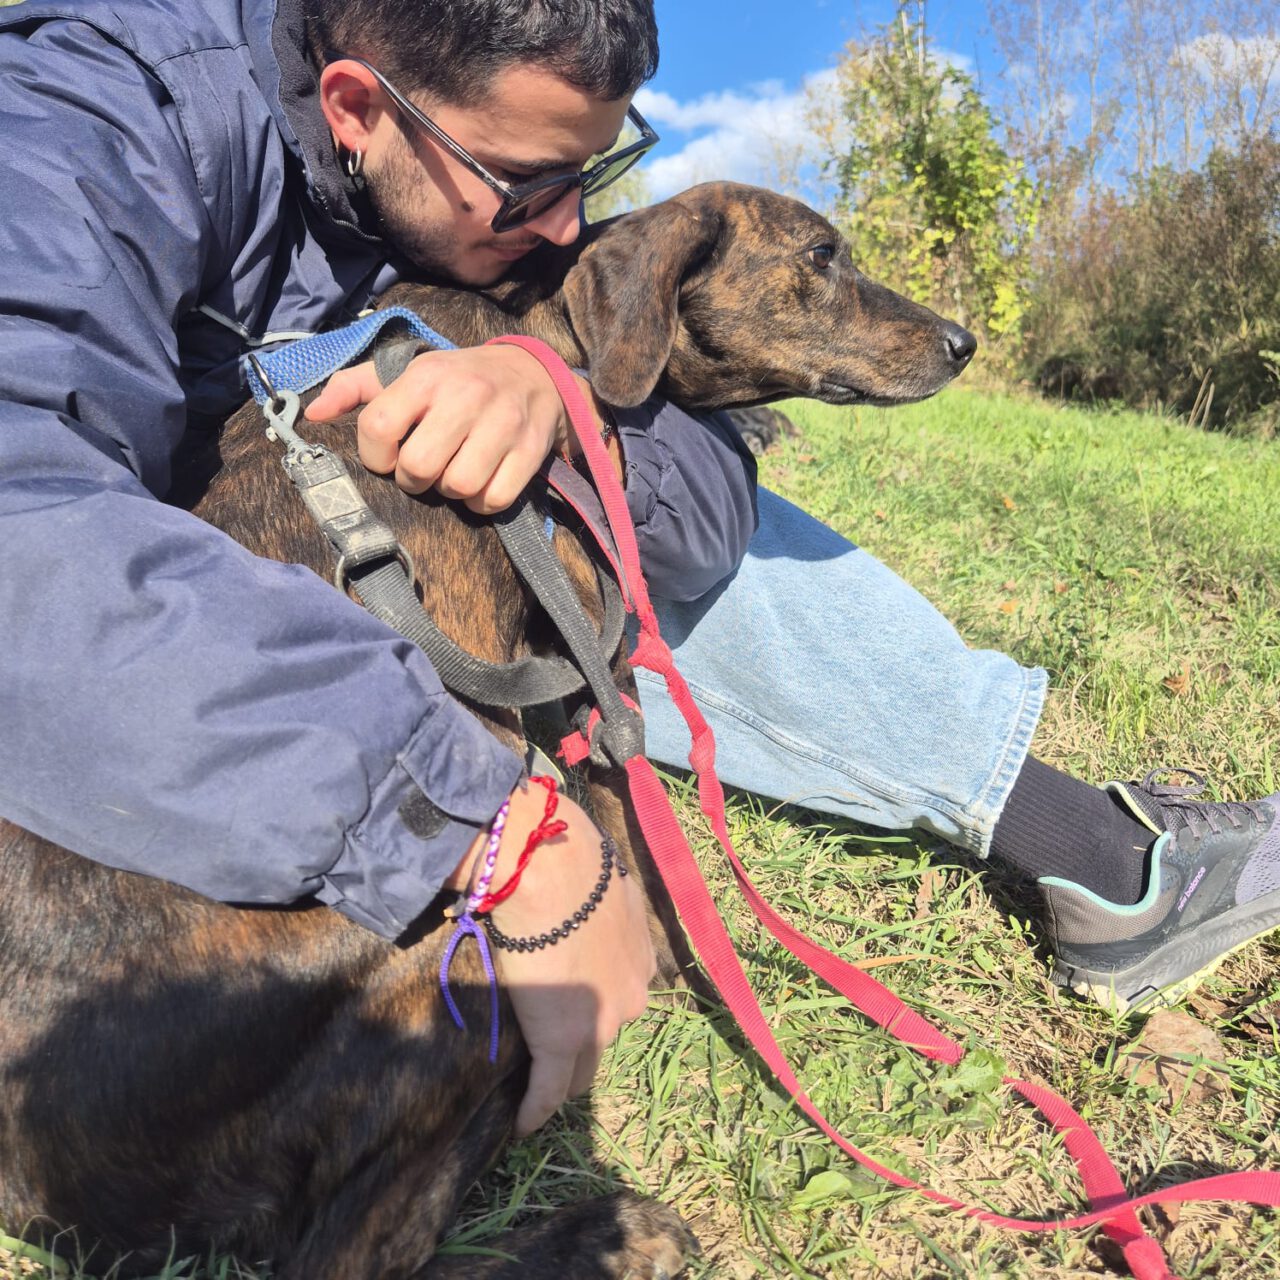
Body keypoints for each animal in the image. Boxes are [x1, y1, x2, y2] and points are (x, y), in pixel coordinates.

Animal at [0, 183, 975, 1278]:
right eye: (819, 255)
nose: (963, 341)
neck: (552, 331)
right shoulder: (591, 668)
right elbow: (643, 849)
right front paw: (683, 973)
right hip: (462, 969)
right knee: (346, 1258)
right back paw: (608, 1230)